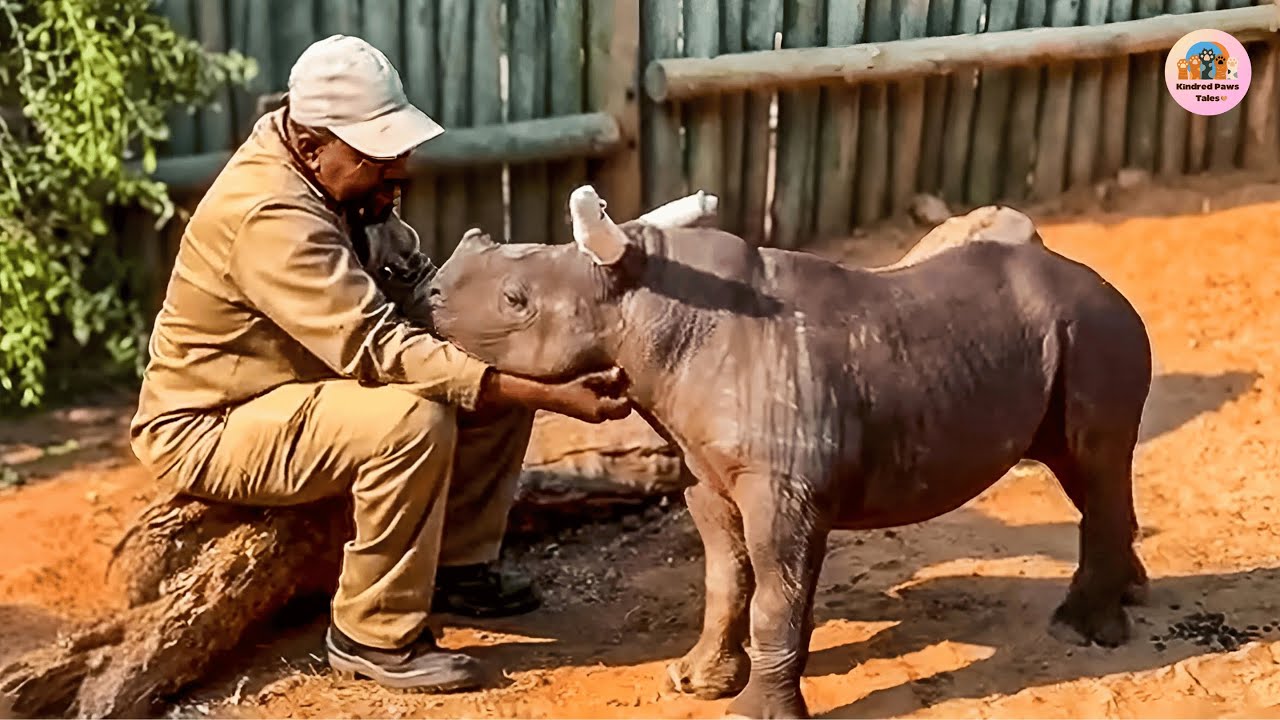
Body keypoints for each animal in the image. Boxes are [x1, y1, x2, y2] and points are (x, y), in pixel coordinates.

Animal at [424, 187, 1152, 719]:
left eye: (515, 301)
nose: (429, 290)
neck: (653, 303)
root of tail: (1111, 288)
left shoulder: (784, 489)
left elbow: (778, 595)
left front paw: (752, 714)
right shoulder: (706, 471)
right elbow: (724, 579)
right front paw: (695, 682)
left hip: (1096, 329)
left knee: (1094, 460)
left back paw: (1080, 632)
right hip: (1069, 336)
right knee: (1081, 468)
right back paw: (1130, 592)